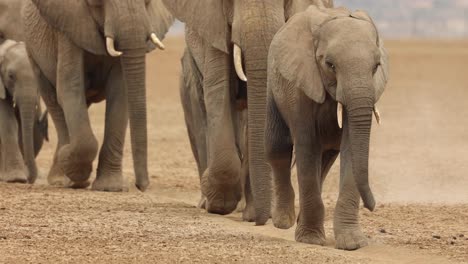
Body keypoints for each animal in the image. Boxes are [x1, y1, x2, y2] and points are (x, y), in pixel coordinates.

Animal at [21, 0, 173, 190]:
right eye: (98, 2)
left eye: (148, 2)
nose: (142, 186)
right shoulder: (68, 28)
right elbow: (70, 87)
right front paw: (73, 168)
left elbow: (120, 93)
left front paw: (110, 187)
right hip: (33, 54)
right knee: (54, 102)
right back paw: (63, 176)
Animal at [165, 0, 332, 225]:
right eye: (229, 1)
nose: (260, 220)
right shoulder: (213, 27)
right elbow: (219, 87)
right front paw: (219, 204)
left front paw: (254, 212)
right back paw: (207, 202)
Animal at [266, 5, 390, 250]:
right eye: (330, 65)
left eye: (376, 67)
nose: (373, 206)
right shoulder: (300, 85)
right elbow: (306, 146)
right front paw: (311, 239)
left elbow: (351, 148)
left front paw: (353, 243)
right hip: (274, 88)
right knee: (279, 148)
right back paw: (284, 221)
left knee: (324, 161)